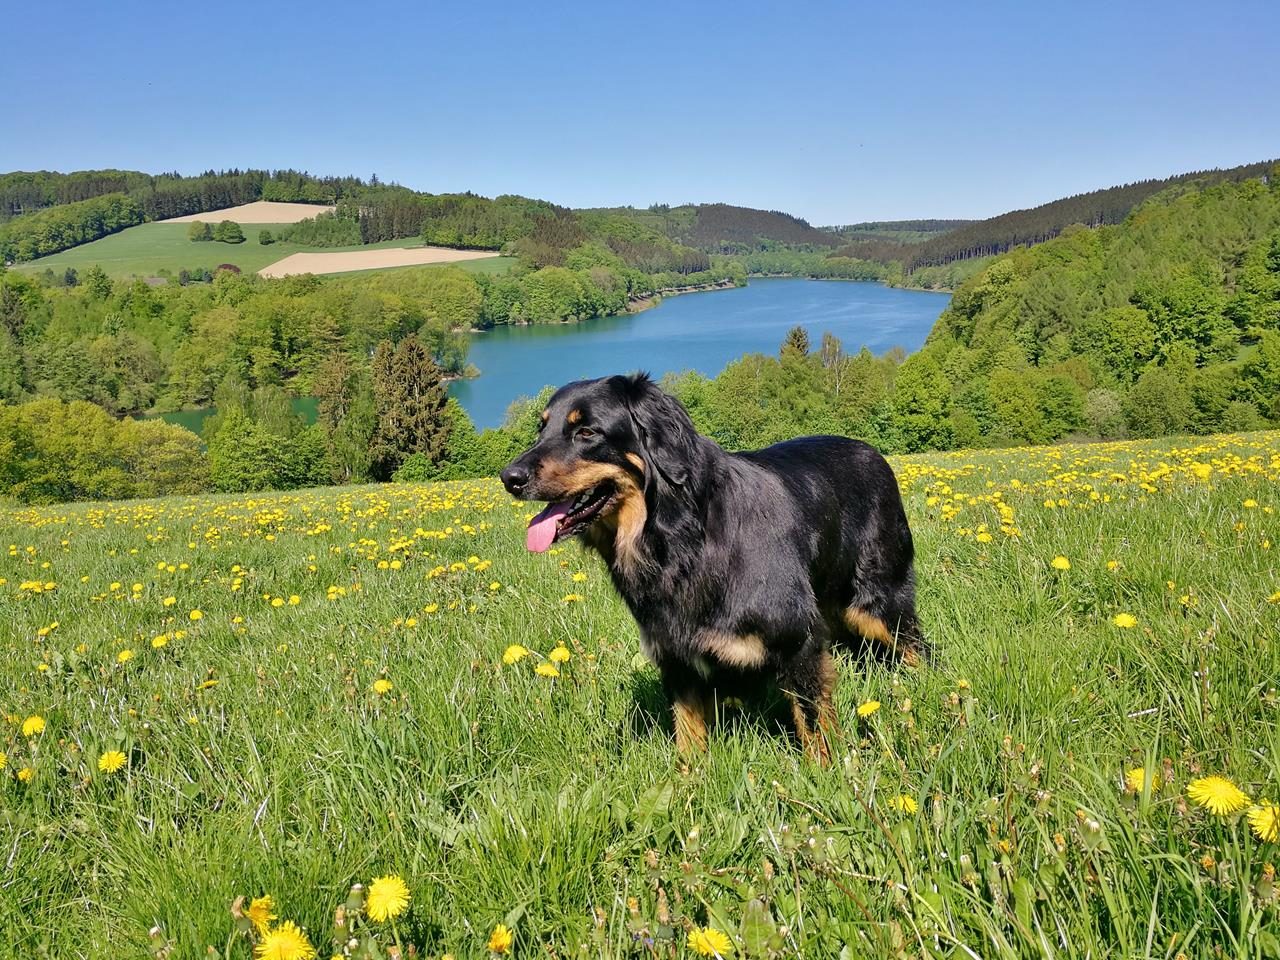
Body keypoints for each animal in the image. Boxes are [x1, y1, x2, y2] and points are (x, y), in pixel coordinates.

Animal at [496, 371, 921, 762]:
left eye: (586, 431)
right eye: (541, 428)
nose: (509, 478)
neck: (681, 540)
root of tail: (872, 452)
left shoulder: (798, 641)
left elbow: (814, 725)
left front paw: (826, 776)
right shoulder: (677, 657)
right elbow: (688, 736)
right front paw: (689, 783)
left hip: (878, 603)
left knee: (916, 647)